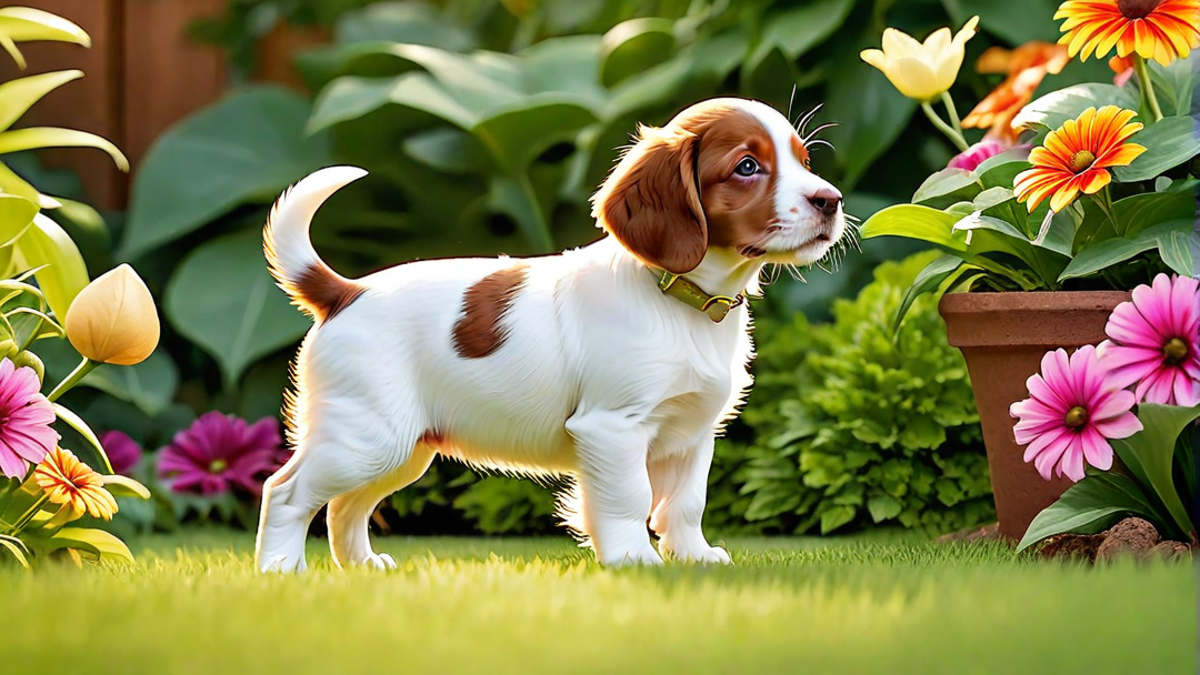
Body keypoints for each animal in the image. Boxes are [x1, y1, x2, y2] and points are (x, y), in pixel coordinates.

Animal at [253, 94, 844, 569]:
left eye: (804, 161)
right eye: (747, 166)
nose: (831, 200)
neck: (682, 301)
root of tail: (346, 292)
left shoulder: (693, 432)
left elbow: (685, 503)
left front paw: (695, 558)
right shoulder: (612, 427)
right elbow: (629, 498)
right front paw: (635, 560)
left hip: (401, 447)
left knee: (345, 505)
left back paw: (362, 566)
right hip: (368, 436)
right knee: (285, 492)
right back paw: (280, 570)